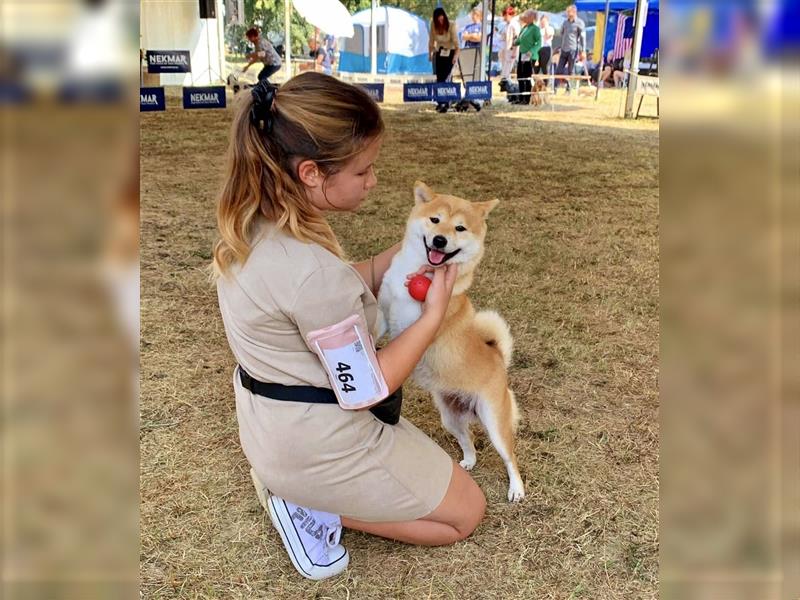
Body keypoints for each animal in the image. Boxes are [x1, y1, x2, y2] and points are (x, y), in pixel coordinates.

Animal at [380, 182, 524, 502]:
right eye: (435, 220)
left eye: (460, 228)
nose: (440, 239)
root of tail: (497, 356)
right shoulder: (383, 309)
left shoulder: (414, 326)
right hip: (450, 416)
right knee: (467, 439)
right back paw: (468, 461)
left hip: (494, 421)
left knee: (510, 457)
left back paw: (516, 488)